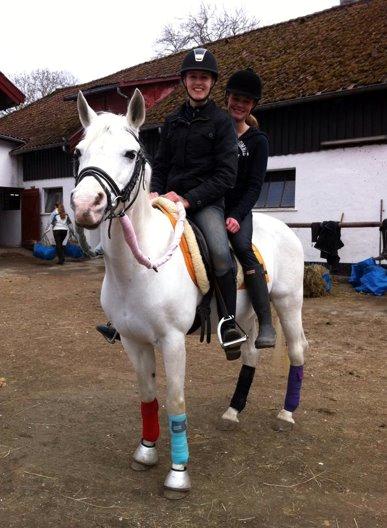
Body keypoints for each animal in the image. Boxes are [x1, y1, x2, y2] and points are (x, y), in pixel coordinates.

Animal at [72, 89, 310, 500]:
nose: (86, 207)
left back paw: (286, 414)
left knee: (296, 351)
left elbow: (174, 400)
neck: (138, 269)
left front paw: (178, 474)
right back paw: (233, 412)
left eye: (130, 154)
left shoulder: (171, 341)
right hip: (246, 314)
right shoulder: (133, 341)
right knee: (250, 353)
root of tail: (282, 226)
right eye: (79, 152)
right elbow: (147, 395)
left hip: (288, 302)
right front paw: (146, 452)